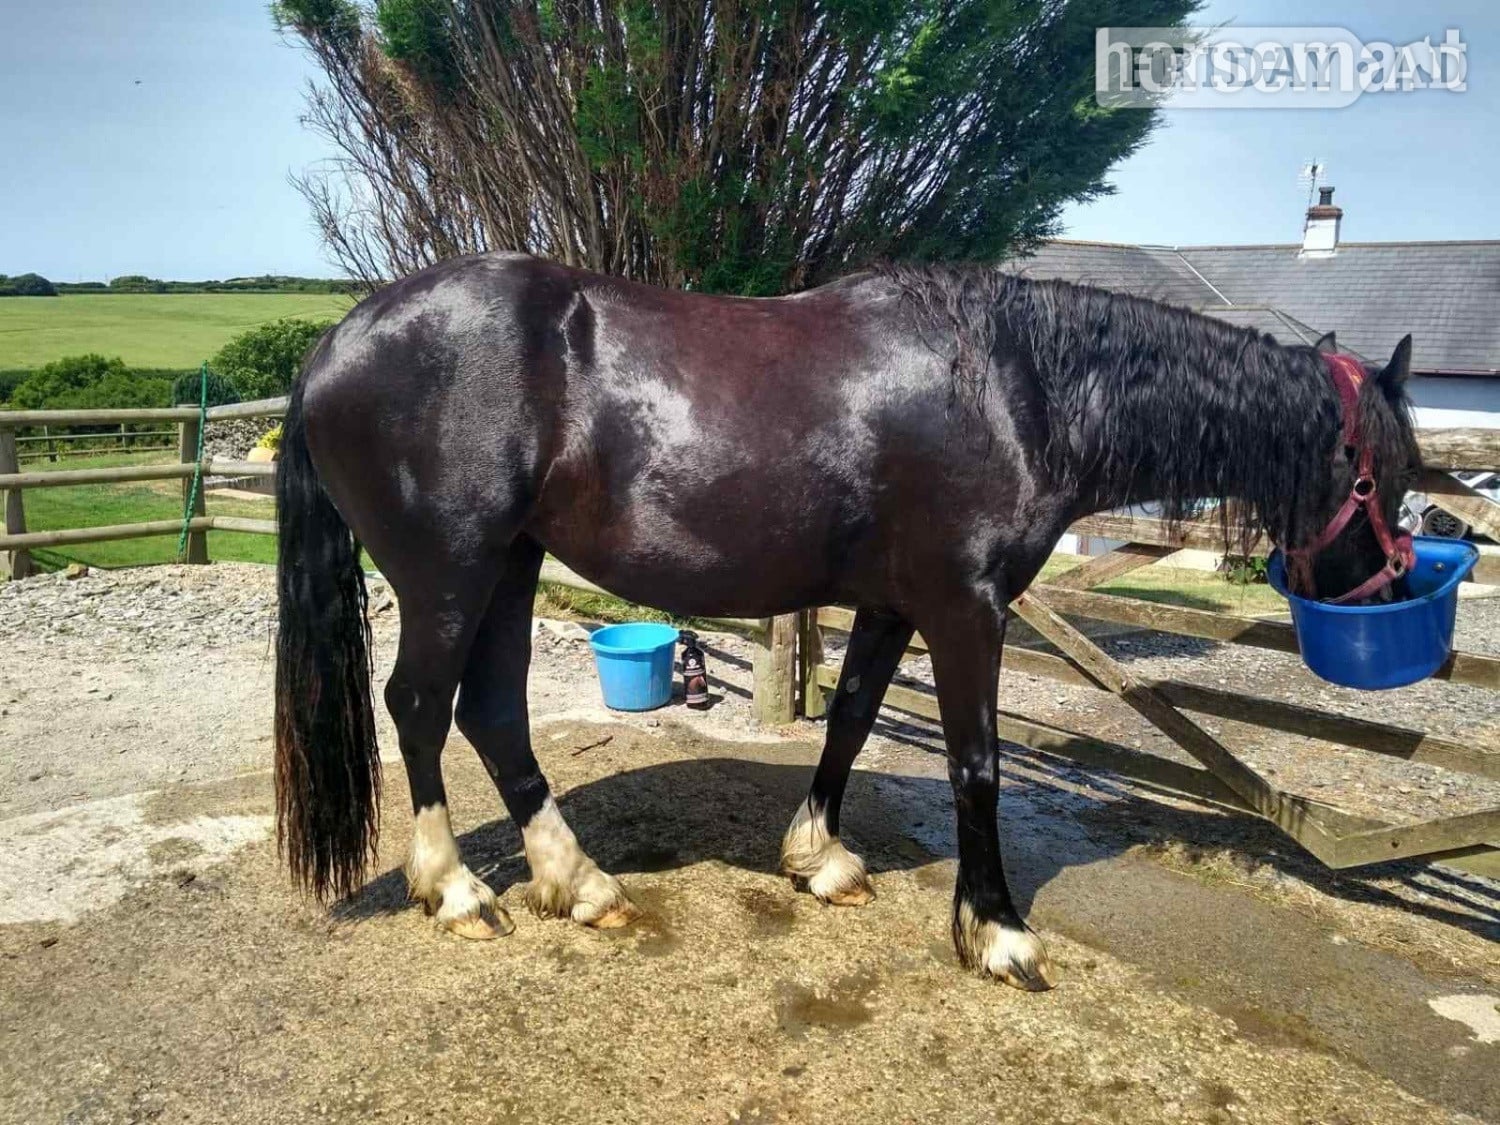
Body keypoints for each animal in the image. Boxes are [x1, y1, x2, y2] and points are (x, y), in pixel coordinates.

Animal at [273, 254, 1421, 990]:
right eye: (1388, 473)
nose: (1384, 598)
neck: (1012, 384)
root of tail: (335, 343)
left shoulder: (889, 603)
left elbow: (854, 720)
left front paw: (818, 859)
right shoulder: (966, 608)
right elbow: (975, 764)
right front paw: (999, 933)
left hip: (511, 566)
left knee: (494, 714)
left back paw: (579, 882)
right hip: (452, 571)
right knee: (421, 705)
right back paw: (457, 890)